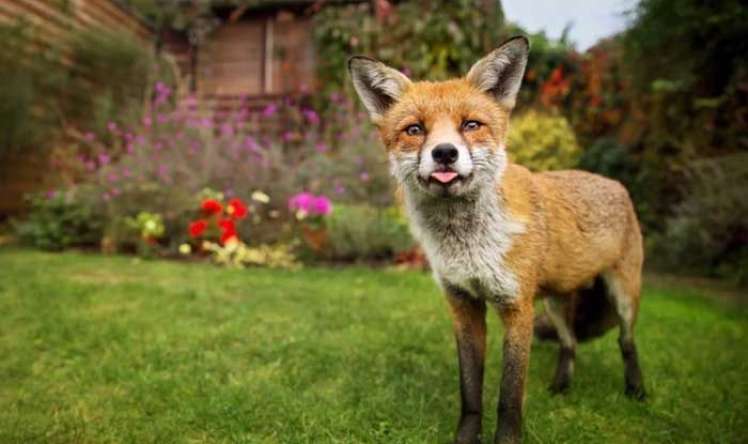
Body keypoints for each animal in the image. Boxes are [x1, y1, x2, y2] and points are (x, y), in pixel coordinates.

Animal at [348, 36, 644, 444]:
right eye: (415, 130)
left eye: (471, 125)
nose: (445, 153)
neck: (469, 245)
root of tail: (615, 184)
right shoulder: (463, 304)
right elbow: (471, 391)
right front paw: (466, 437)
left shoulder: (517, 308)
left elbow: (509, 395)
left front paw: (506, 438)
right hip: (554, 301)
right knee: (569, 343)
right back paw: (561, 387)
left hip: (622, 295)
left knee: (625, 342)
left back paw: (636, 391)